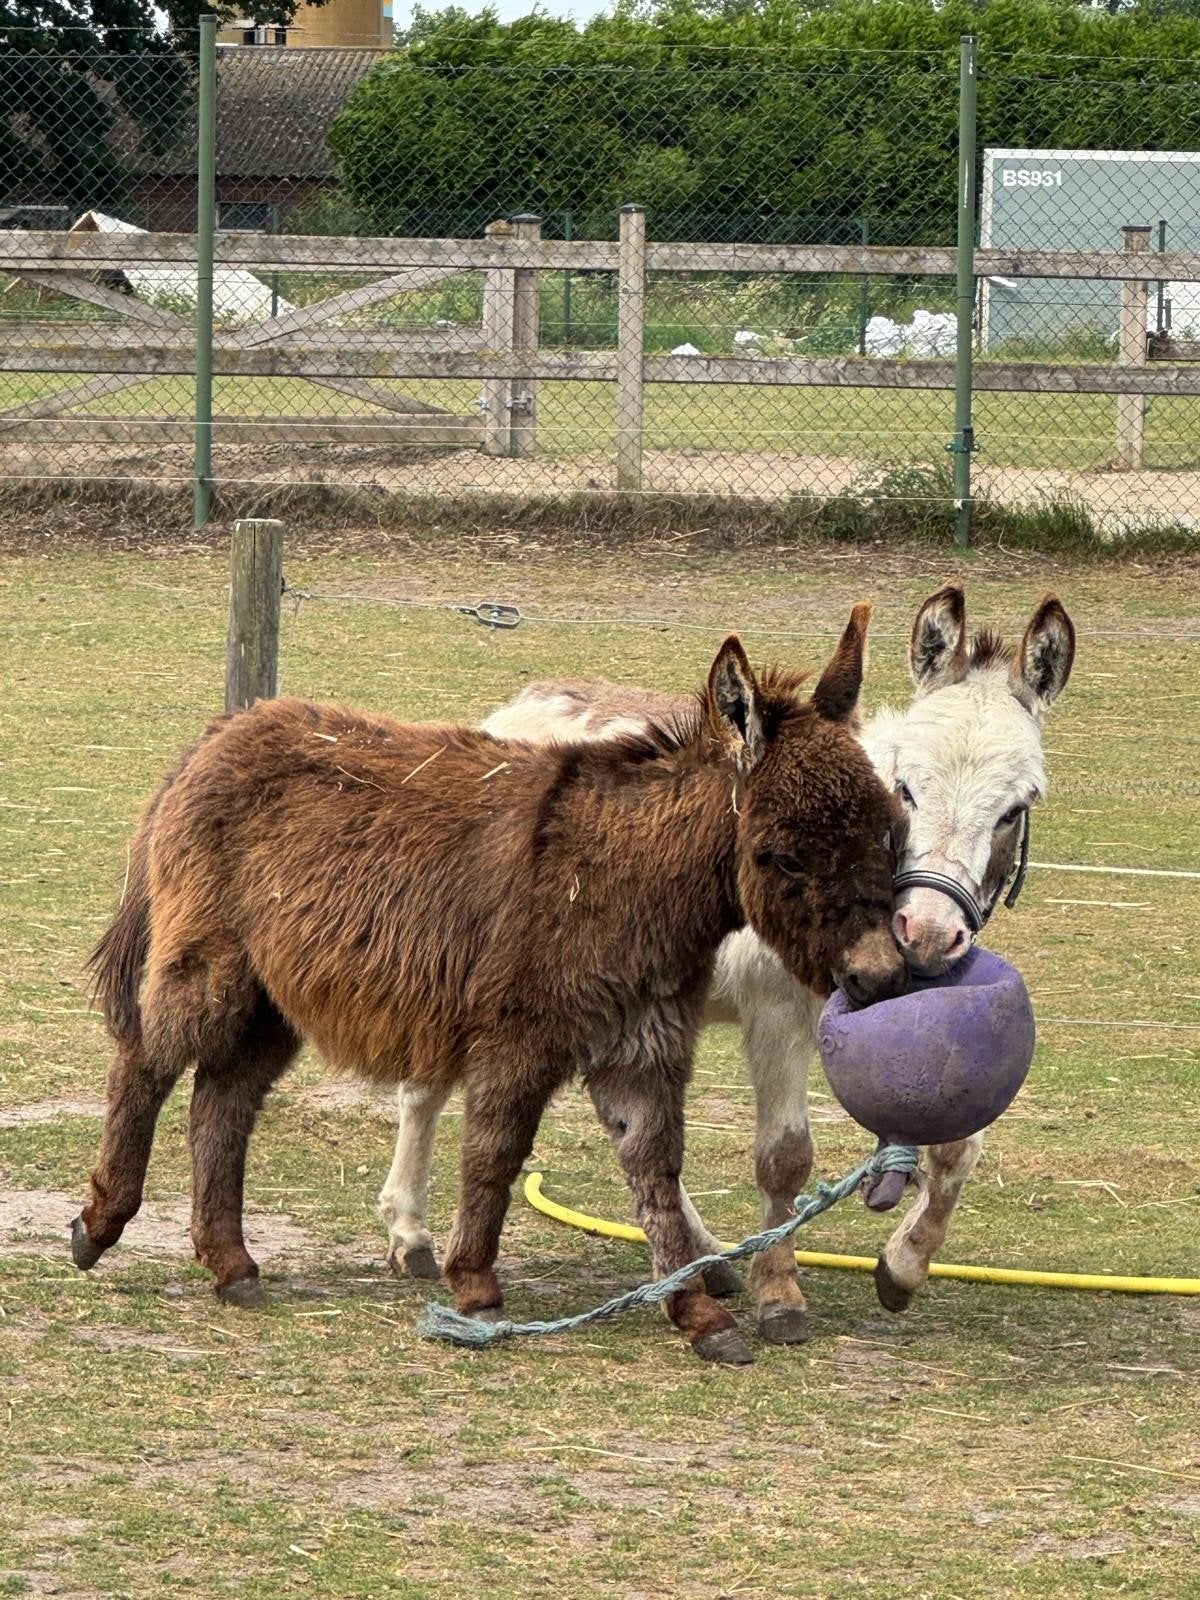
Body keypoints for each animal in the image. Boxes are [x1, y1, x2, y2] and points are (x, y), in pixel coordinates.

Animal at [75, 615, 907, 1364]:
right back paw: (100, 1223)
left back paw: (231, 1264)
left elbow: (655, 1175)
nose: (879, 975)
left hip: (274, 998)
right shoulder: (517, 1035)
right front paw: (474, 1285)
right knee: (145, 1063)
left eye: (890, 828)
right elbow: (494, 1154)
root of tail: (219, 733)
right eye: (783, 857)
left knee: (223, 1102)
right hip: (210, 964)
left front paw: (699, 1314)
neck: (626, 874)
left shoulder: (643, 1041)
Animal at [379, 584, 1074, 1346]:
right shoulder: (777, 1014)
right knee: (424, 1089)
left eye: (1016, 808)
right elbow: (785, 1155)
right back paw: (412, 1233)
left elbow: (956, 1149)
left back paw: (704, 1260)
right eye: (904, 789)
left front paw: (902, 1267)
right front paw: (781, 1295)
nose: (924, 933)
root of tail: (522, 704)